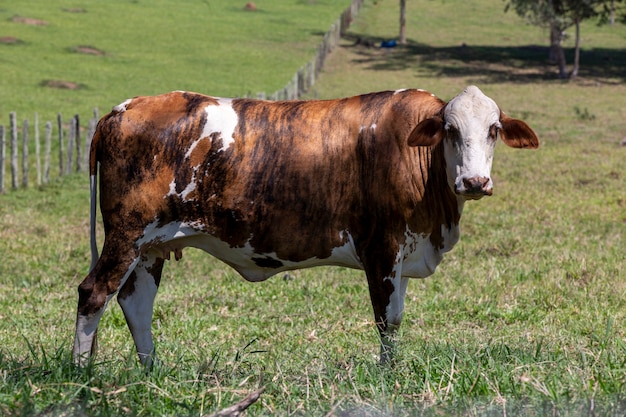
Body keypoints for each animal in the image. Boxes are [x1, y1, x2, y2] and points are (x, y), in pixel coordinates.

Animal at [74, 86, 536, 366]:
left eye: (494, 129)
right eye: (450, 129)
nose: (474, 181)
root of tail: (122, 109)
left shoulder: (405, 252)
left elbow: (397, 317)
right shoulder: (381, 246)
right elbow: (385, 319)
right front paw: (387, 376)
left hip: (149, 247)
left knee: (135, 304)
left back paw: (151, 371)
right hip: (127, 234)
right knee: (94, 293)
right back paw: (83, 375)